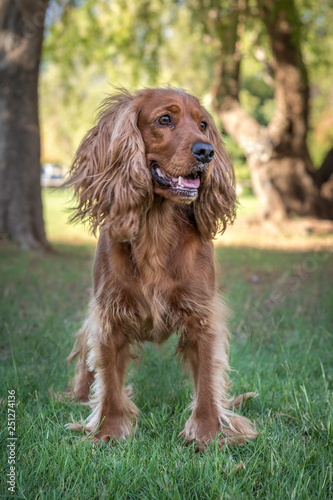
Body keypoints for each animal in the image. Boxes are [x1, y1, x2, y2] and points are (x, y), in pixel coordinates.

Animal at [65, 87, 256, 450]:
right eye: (164, 120)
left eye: (203, 124)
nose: (206, 151)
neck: (156, 226)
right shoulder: (109, 314)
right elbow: (109, 382)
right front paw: (108, 431)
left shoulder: (202, 314)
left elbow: (208, 383)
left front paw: (209, 435)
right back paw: (77, 396)